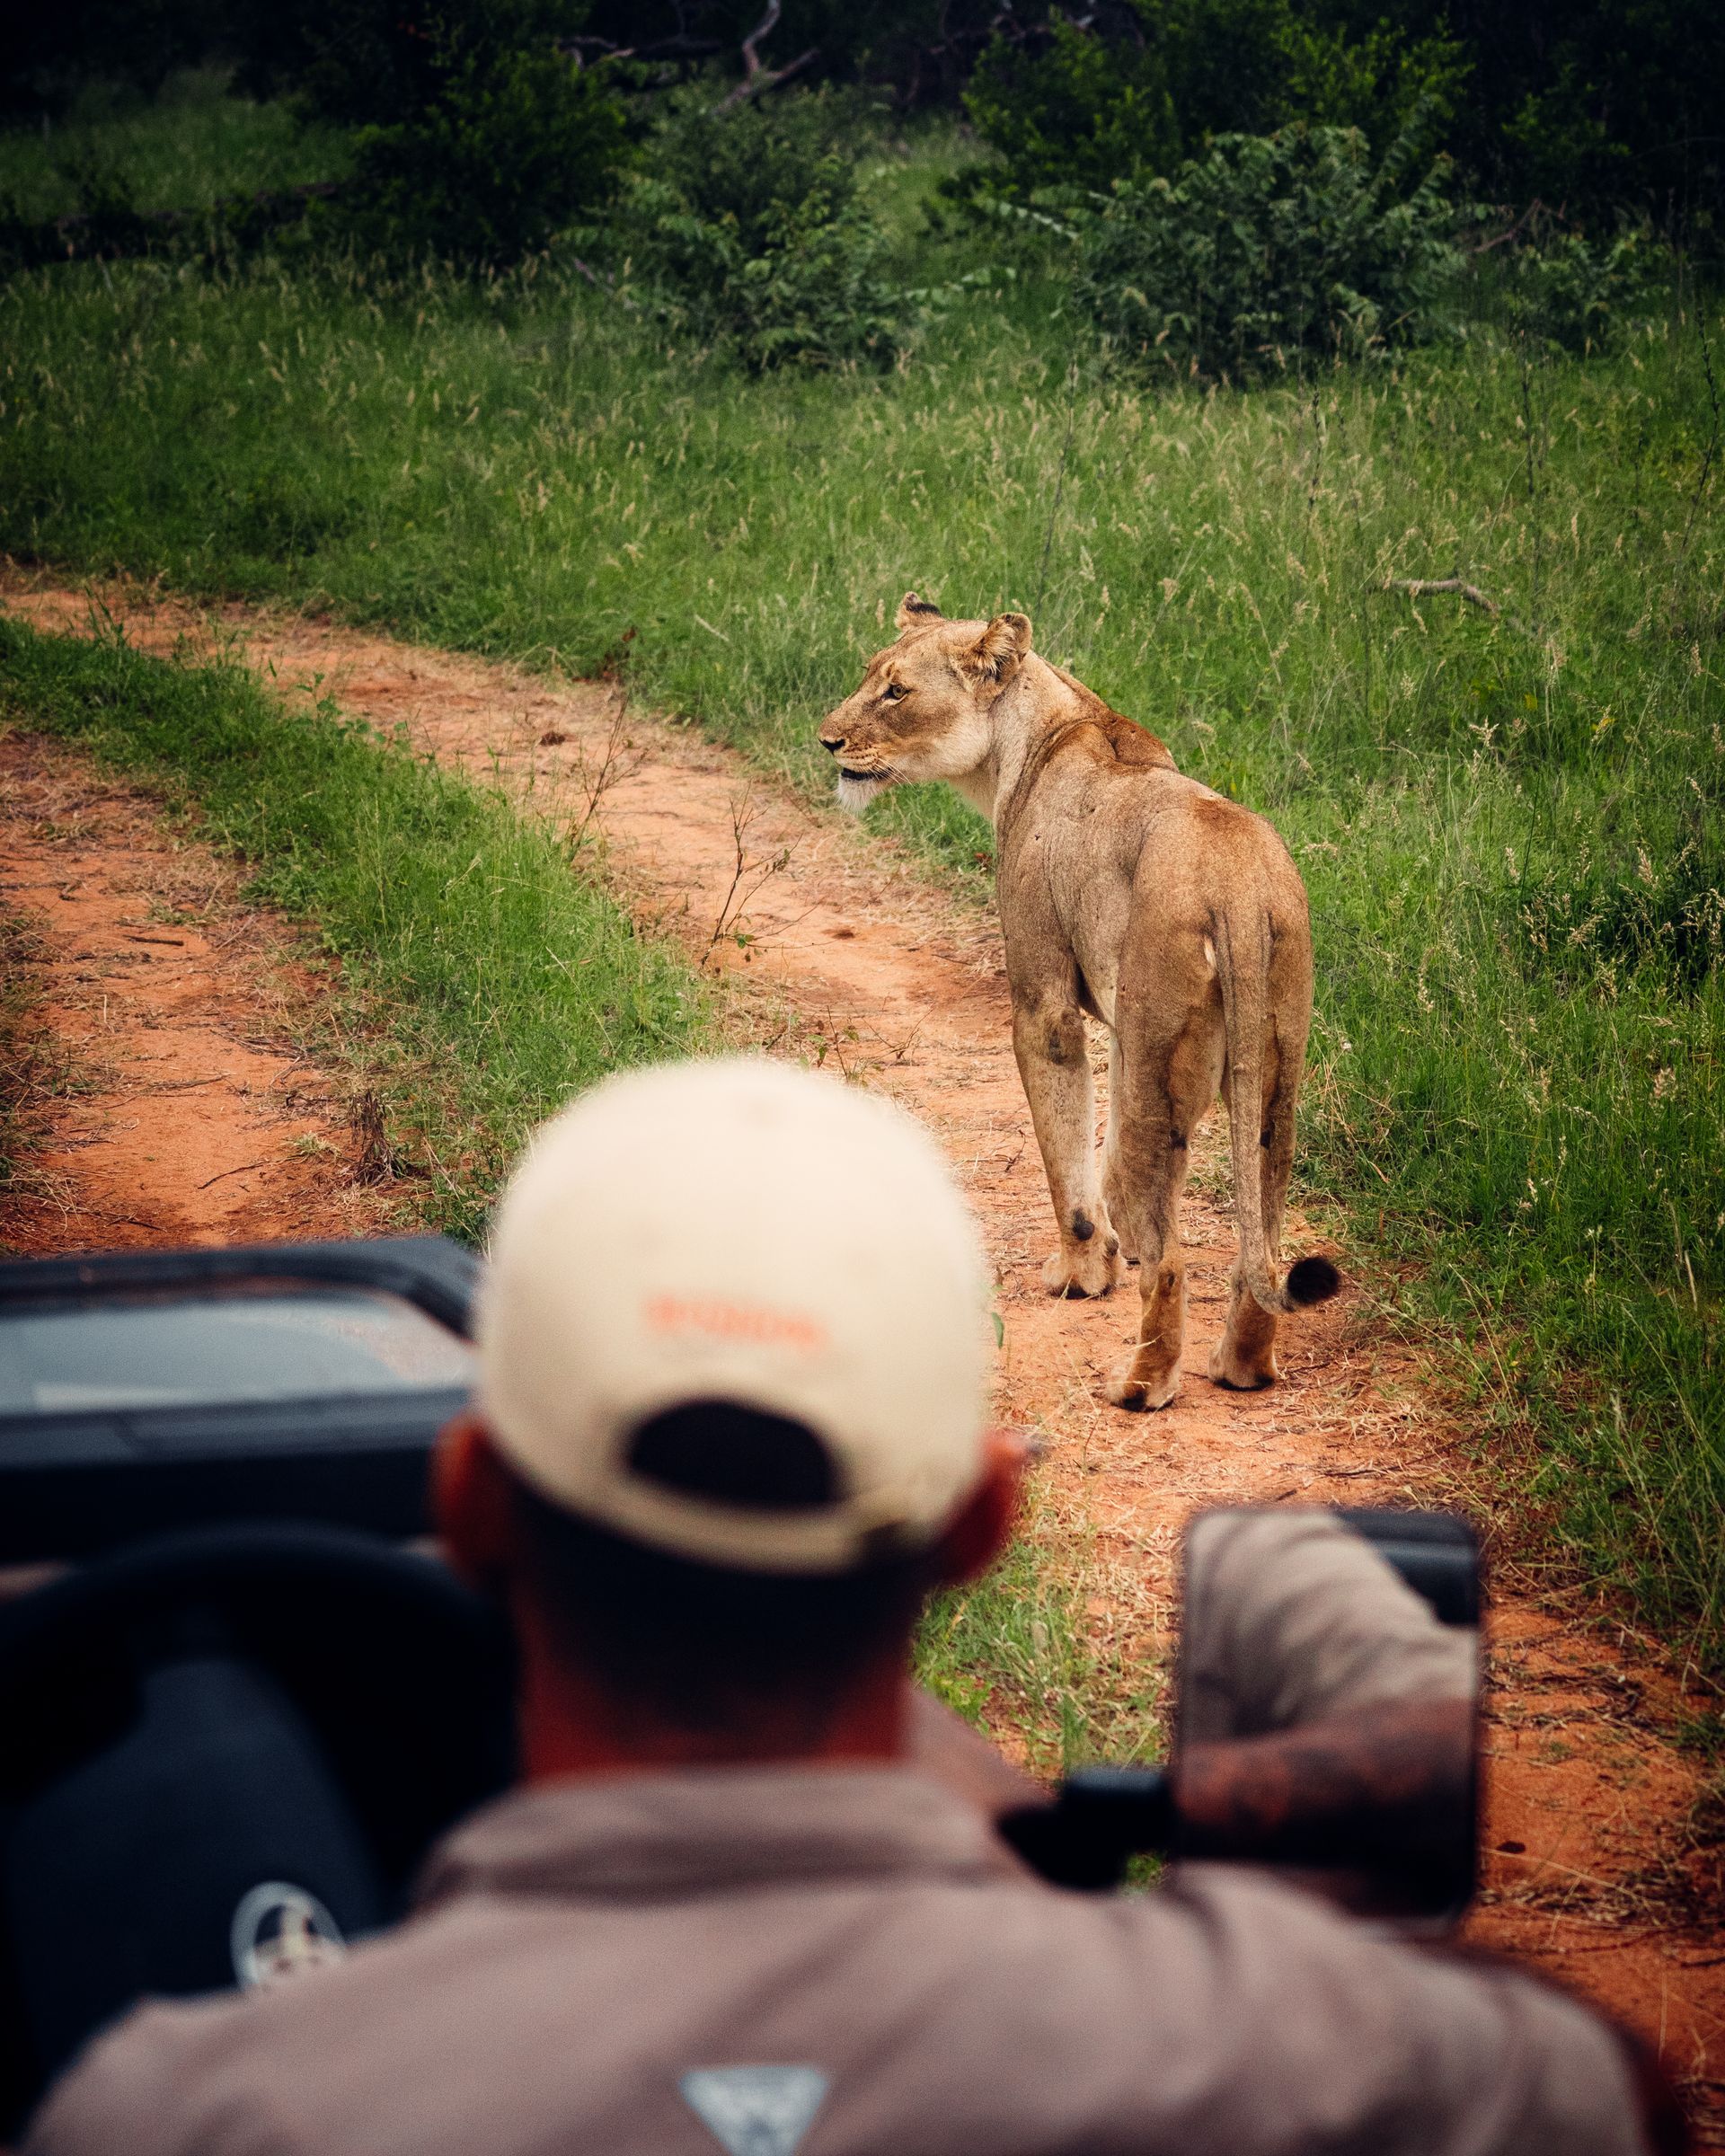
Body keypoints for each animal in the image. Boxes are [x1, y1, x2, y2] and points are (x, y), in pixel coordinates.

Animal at [819, 593, 1339, 1410]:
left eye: (896, 691)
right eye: (872, 676)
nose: (827, 739)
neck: (1032, 737)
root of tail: (1237, 883)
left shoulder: (1045, 1004)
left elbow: (1065, 1153)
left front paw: (1081, 1276)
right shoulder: (1120, 1029)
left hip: (1159, 1068)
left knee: (1168, 1258)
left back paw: (1140, 1385)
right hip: (1274, 1075)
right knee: (1264, 1235)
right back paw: (1242, 1369)